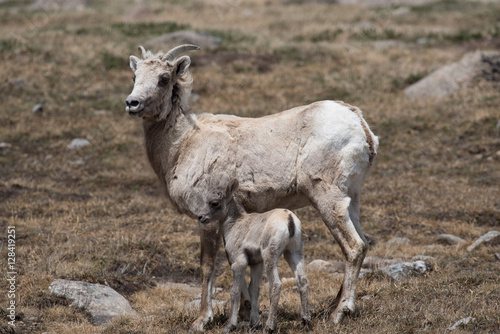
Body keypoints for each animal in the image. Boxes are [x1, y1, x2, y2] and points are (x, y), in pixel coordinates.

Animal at [196, 177, 308, 332]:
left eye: (214, 203)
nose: (200, 217)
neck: (234, 225)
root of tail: (289, 219)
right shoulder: (256, 263)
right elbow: (254, 289)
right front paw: (254, 323)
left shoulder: (239, 263)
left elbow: (235, 291)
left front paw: (229, 326)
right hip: (293, 253)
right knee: (302, 281)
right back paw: (305, 321)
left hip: (270, 256)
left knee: (276, 285)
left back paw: (269, 327)